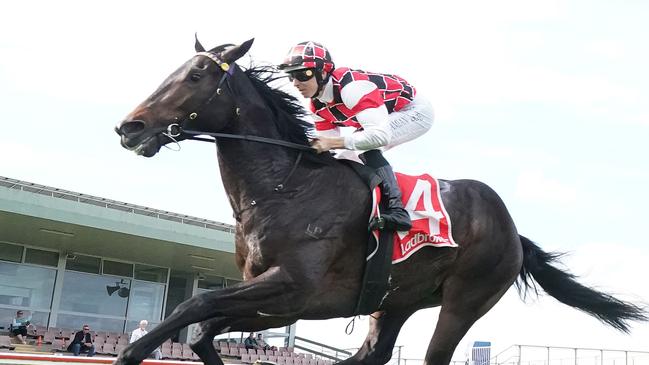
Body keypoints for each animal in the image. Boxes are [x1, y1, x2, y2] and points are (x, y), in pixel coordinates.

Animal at [114, 38, 644, 362]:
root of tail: (514, 230)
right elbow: (201, 328)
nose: (129, 127)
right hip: (396, 300)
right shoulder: (281, 303)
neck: (283, 188)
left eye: (197, 75)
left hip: (465, 299)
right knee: (373, 352)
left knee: (434, 353)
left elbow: (193, 305)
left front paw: (130, 352)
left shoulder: (294, 289)